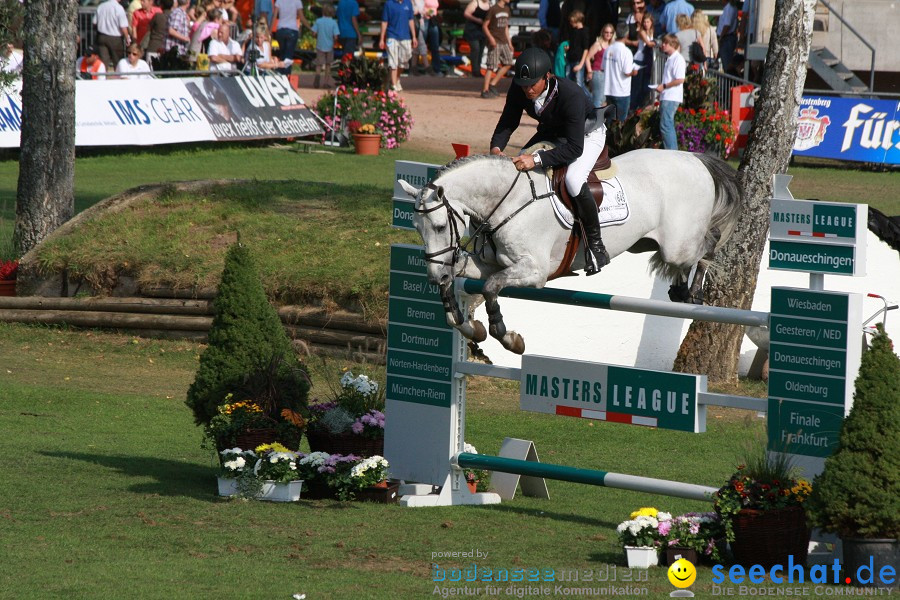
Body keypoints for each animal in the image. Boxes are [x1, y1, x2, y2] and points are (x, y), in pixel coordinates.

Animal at [400, 149, 740, 354]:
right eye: (417, 228)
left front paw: (508, 337)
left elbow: (491, 287)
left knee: (708, 246)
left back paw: (693, 292)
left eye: (440, 227)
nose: (435, 276)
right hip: (653, 244)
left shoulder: (534, 271)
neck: (507, 202)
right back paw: (680, 291)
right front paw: (471, 326)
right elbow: (466, 283)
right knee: (687, 260)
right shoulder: (489, 264)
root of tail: (694, 158)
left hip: (678, 245)